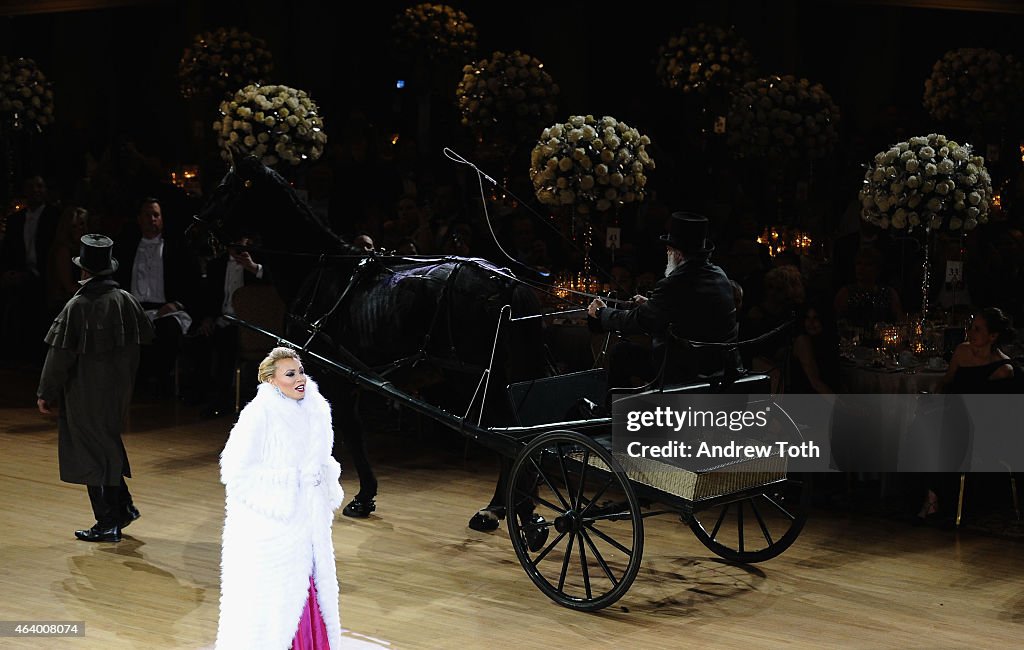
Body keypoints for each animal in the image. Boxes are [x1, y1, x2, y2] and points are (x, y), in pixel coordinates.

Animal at [187, 155, 548, 532]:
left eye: (222, 189)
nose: (192, 235)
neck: (320, 269)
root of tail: (506, 282)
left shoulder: (332, 377)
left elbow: (349, 431)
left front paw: (363, 496)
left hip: (472, 379)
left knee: (509, 439)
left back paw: (505, 510)